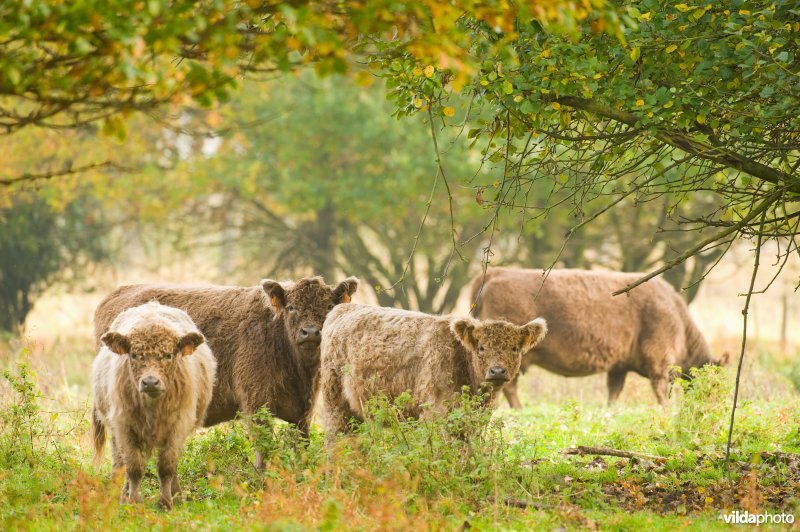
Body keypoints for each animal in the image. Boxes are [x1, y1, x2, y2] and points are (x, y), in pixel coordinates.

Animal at [91, 302, 216, 510]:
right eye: (134, 355)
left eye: (168, 355)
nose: (150, 382)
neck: (153, 408)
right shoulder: (124, 426)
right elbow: (134, 467)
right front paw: (133, 500)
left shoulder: (178, 426)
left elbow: (167, 467)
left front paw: (166, 501)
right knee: (120, 463)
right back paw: (122, 494)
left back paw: (177, 495)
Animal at [95, 276, 358, 468]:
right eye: (292, 307)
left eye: (329, 306)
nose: (310, 332)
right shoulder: (255, 403)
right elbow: (262, 448)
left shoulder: (304, 411)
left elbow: (301, 445)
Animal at [322, 302, 548, 442]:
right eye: (482, 347)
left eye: (514, 348)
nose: (498, 371)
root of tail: (344, 308)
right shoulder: (436, 411)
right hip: (334, 399)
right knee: (335, 436)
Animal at [468, 266, 724, 408]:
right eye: (714, 383)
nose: (712, 406)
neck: (677, 315)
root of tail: (495, 271)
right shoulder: (661, 360)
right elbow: (662, 391)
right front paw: (667, 412)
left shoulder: (619, 366)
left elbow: (614, 392)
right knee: (508, 386)